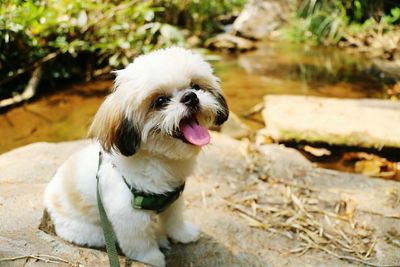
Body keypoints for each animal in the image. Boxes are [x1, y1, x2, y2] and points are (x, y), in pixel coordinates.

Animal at [43, 47, 228, 266]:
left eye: (196, 86)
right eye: (160, 101)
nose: (190, 97)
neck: (158, 160)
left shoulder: (173, 198)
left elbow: (174, 219)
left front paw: (182, 234)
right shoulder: (129, 215)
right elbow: (140, 243)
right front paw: (152, 259)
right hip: (91, 232)